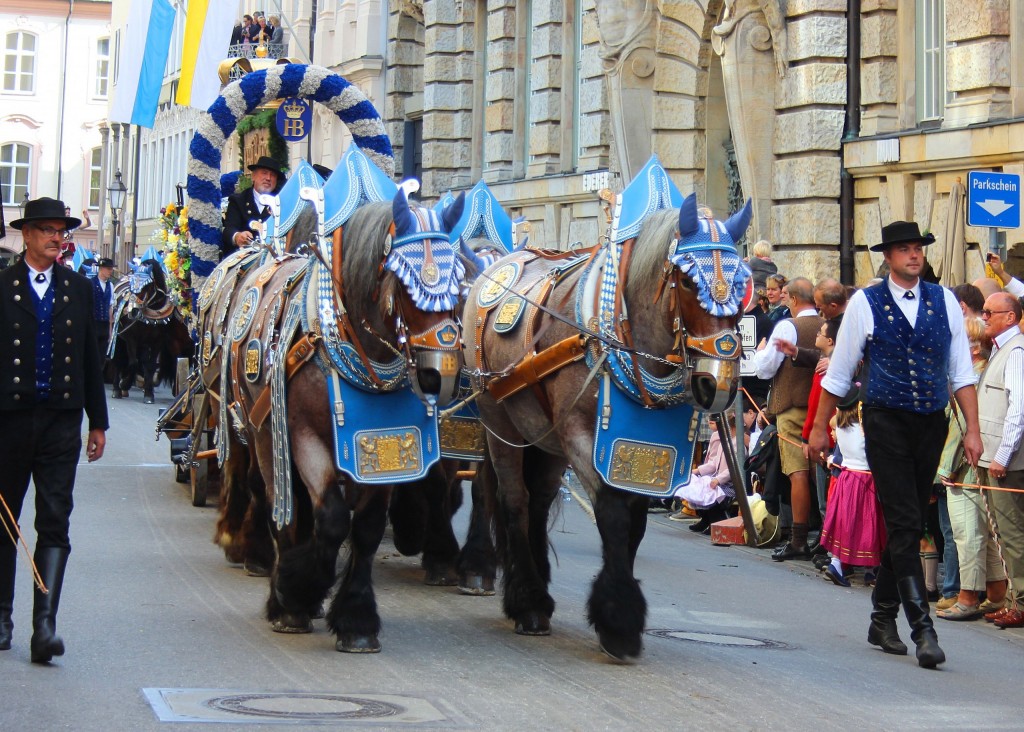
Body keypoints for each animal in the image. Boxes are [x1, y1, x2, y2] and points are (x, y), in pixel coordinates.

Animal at [464, 191, 753, 663]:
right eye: (688, 280)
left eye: (743, 282)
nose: (720, 384)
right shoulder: (586, 441)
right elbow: (614, 517)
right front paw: (618, 621)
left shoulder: (647, 451)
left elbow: (635, 523)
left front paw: (619, 613)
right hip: (499, 423)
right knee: (515, 502)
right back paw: (527, 602)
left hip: (546, 441)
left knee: (539, 502)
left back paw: (538, 590)